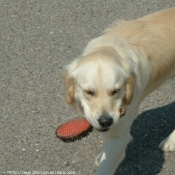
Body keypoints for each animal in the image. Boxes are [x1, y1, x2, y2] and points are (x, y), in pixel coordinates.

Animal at [63, 8, 175, 175]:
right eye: (89, 92)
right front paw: (101, 155)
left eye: (116, 90)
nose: (105, 121)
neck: (112, 47)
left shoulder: (120, 135)